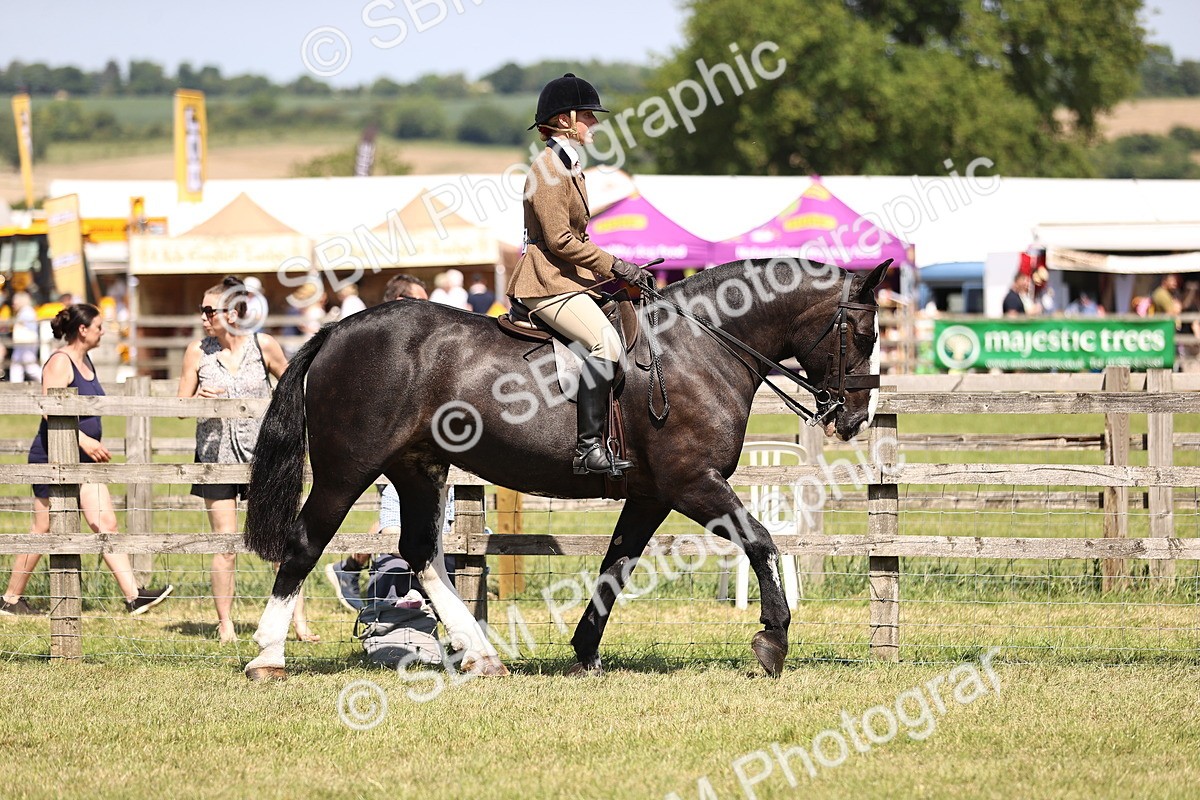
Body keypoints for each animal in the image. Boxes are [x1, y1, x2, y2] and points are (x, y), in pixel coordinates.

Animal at [241, 258, 889, 681]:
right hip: (345, 472)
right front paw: (773, 639)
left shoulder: (652, 495)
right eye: (862, 331)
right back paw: (267, 657)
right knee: (305, 545)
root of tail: (336, 330)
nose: (855, 416)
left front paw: (585, 651)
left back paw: (482, 656)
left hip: (418, 468)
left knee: (422, 555)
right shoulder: (693, 483)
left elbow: (615, 567)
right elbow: (760, 541)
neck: (701, 346)